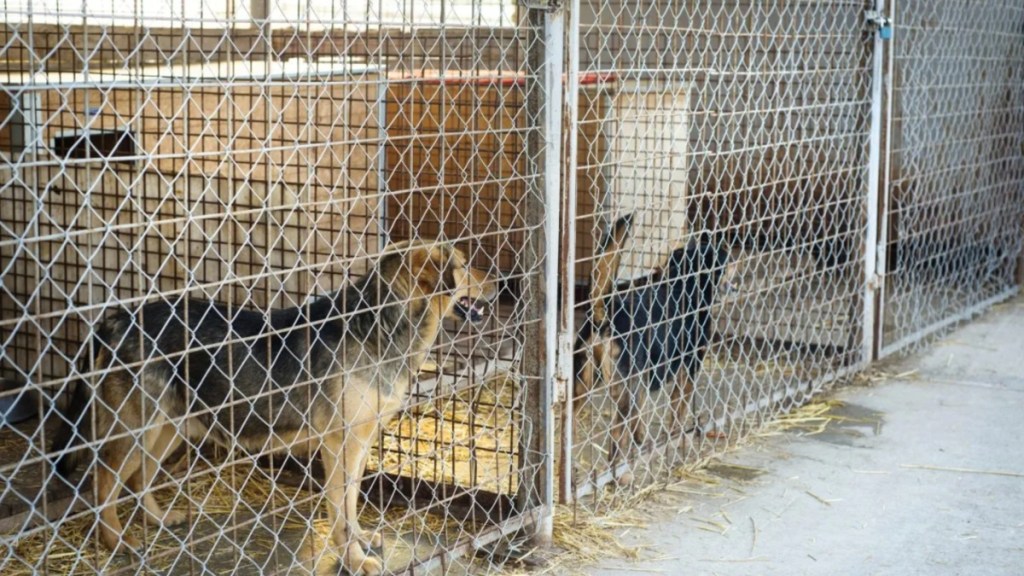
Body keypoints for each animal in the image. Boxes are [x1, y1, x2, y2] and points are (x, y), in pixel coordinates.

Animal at [51, 238, 495, 573]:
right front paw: (352, 558)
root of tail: (116, 319)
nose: (500, 283)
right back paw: (116, 541)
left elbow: (351, 503)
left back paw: (158, 519)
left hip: (169, 427)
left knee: (139, 477)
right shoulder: (339, 446)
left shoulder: (360, 442)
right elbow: (339, 509)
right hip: (135, 428)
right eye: (465, 266)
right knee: (103, 483)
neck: (381, 324)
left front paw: (360, 540)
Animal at [577, 215, 729, 479]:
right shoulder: (688, 368)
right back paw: (622, 474)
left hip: (581, 385)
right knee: (617, 437)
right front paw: (678, 439)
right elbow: (678, 410)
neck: (682, 282)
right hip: (628, 390)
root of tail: (605, 314)